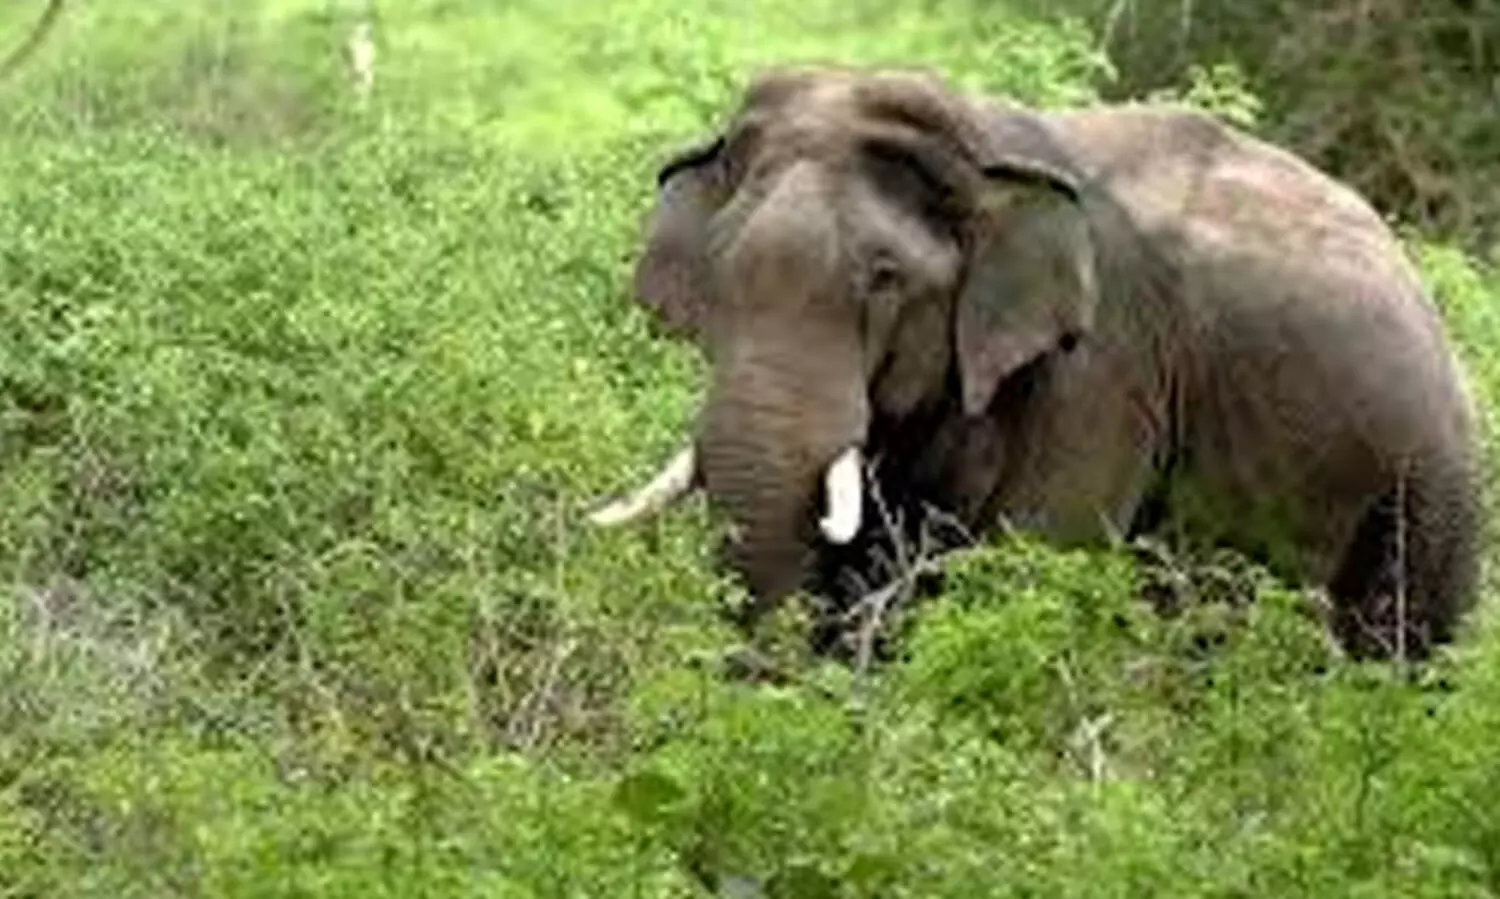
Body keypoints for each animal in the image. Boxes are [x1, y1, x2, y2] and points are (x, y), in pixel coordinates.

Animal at [589, 66, 1484, 662]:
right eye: (719, 272)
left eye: (885, 279)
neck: (979, 147)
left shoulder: (1105, 368)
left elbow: (1036, 563)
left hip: (1436, 484)